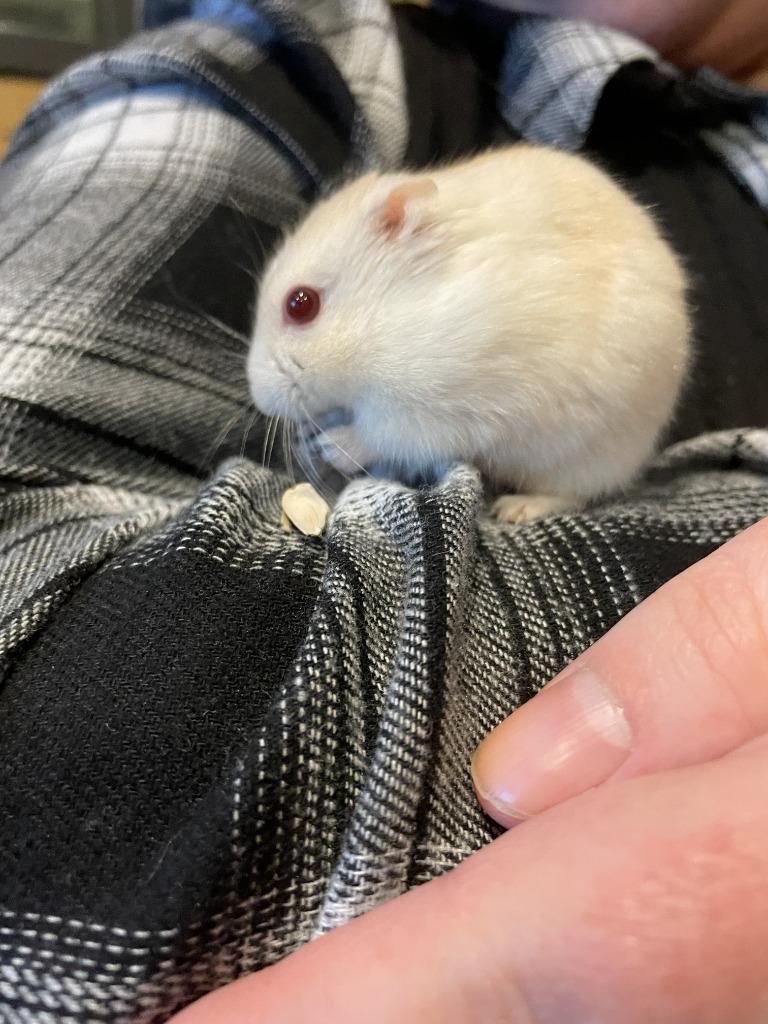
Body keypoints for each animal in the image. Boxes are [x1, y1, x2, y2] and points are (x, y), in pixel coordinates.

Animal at [247, 145, 690, 522]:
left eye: (300, 304)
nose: (259, 397)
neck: (387, 325)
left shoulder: (439, 409)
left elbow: (383, 433)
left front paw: (328, 446)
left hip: (589, 457)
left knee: (570, 494)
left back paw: (513, 510)